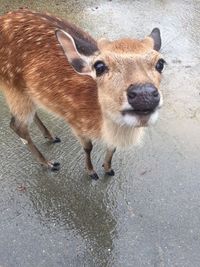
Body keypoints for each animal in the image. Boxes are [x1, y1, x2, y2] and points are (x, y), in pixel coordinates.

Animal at [0, 9, 166, 180]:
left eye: (160, 63)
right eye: (99, 66)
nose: (144, 93)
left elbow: (112, 147)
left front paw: (108, 168)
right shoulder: (75, 121)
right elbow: (88, 147)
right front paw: (91, 172)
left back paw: (51, 136)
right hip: (12, 86)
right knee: (16, 125)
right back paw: (49, 163)